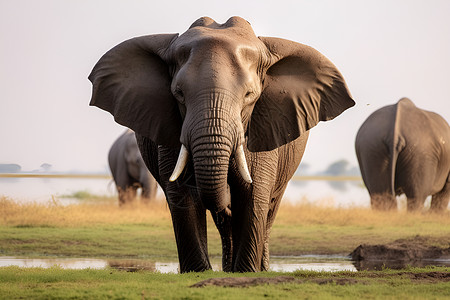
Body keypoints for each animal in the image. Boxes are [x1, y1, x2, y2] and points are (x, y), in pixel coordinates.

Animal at [89, 17, 356, 274]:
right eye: (179, 93)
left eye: (249, 95)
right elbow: (183, 197)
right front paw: (198, 273)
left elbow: (253, 195)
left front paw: (246, 273)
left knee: (269, 209)